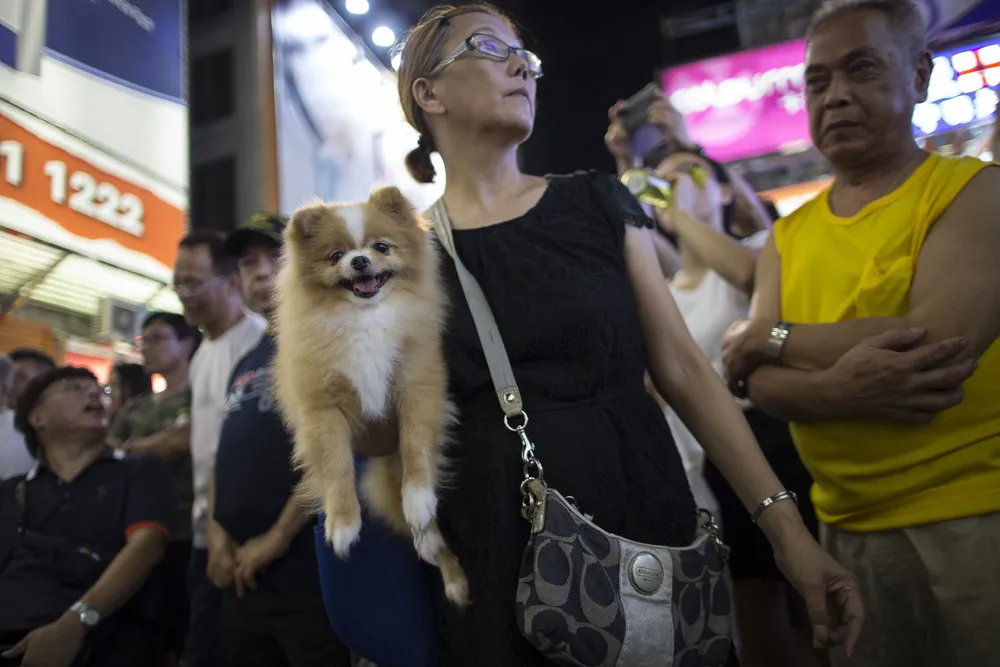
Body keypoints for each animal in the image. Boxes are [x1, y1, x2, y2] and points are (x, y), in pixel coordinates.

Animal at [272, 185, 470, 608]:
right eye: (335, 256)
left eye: (382, 247)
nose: (360, 260)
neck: (365, 320)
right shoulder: (323, 411)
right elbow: (336, 466)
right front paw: (343, 522)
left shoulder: (417, 386)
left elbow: (416, 446)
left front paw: (418, 496)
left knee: (427, 532)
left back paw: (451, 575)